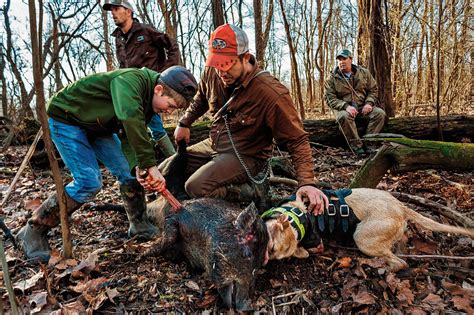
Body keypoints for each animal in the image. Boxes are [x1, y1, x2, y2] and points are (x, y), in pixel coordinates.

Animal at [262, 188, 474, 272]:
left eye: (272, 249)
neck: (296, 217)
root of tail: (400, 206)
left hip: (362, 238)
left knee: (400, 263)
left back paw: (378, 266)